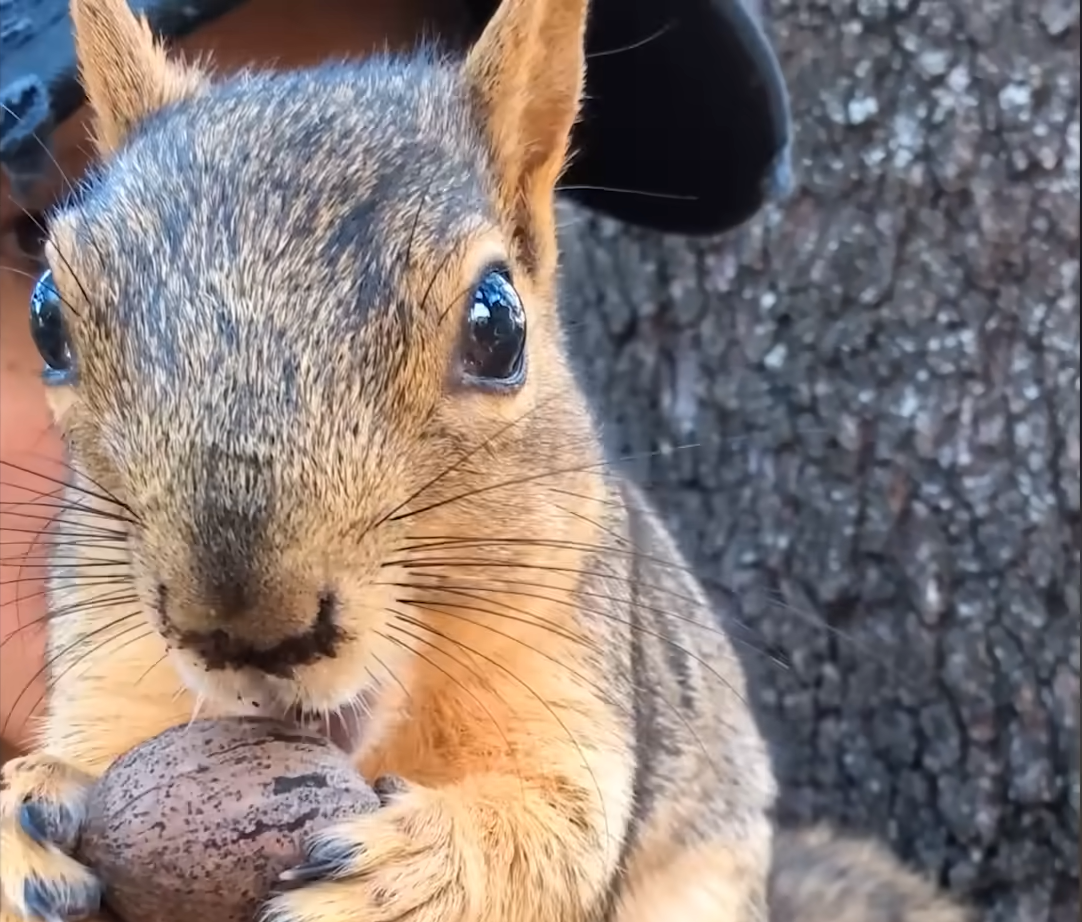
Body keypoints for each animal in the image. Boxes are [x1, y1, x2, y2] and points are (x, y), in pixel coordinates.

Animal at [0, 0, 973, 920]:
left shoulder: (566, 652)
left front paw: (414, 869)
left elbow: (558, 829)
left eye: (499, 325)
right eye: (46, 319)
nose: (247, 629)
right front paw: (18, 822)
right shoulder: (111, 660)